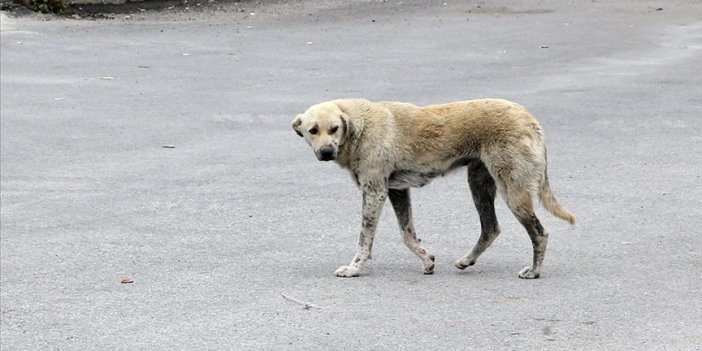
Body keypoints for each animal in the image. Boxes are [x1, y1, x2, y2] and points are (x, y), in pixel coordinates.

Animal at [292, 99, 576, 280]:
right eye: (312, 130)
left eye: (334, 129)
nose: (326, 152)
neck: (359, 127)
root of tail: (530, 119)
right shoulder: (396, 191)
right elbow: (407, 234)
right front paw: (426, 260)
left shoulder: (374, 192)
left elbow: (364, 239)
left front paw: (354, 268)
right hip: (479, 184)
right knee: (491, 228)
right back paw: (467, 260)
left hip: (513, 192)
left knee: (539, 233)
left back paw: (535, 271)